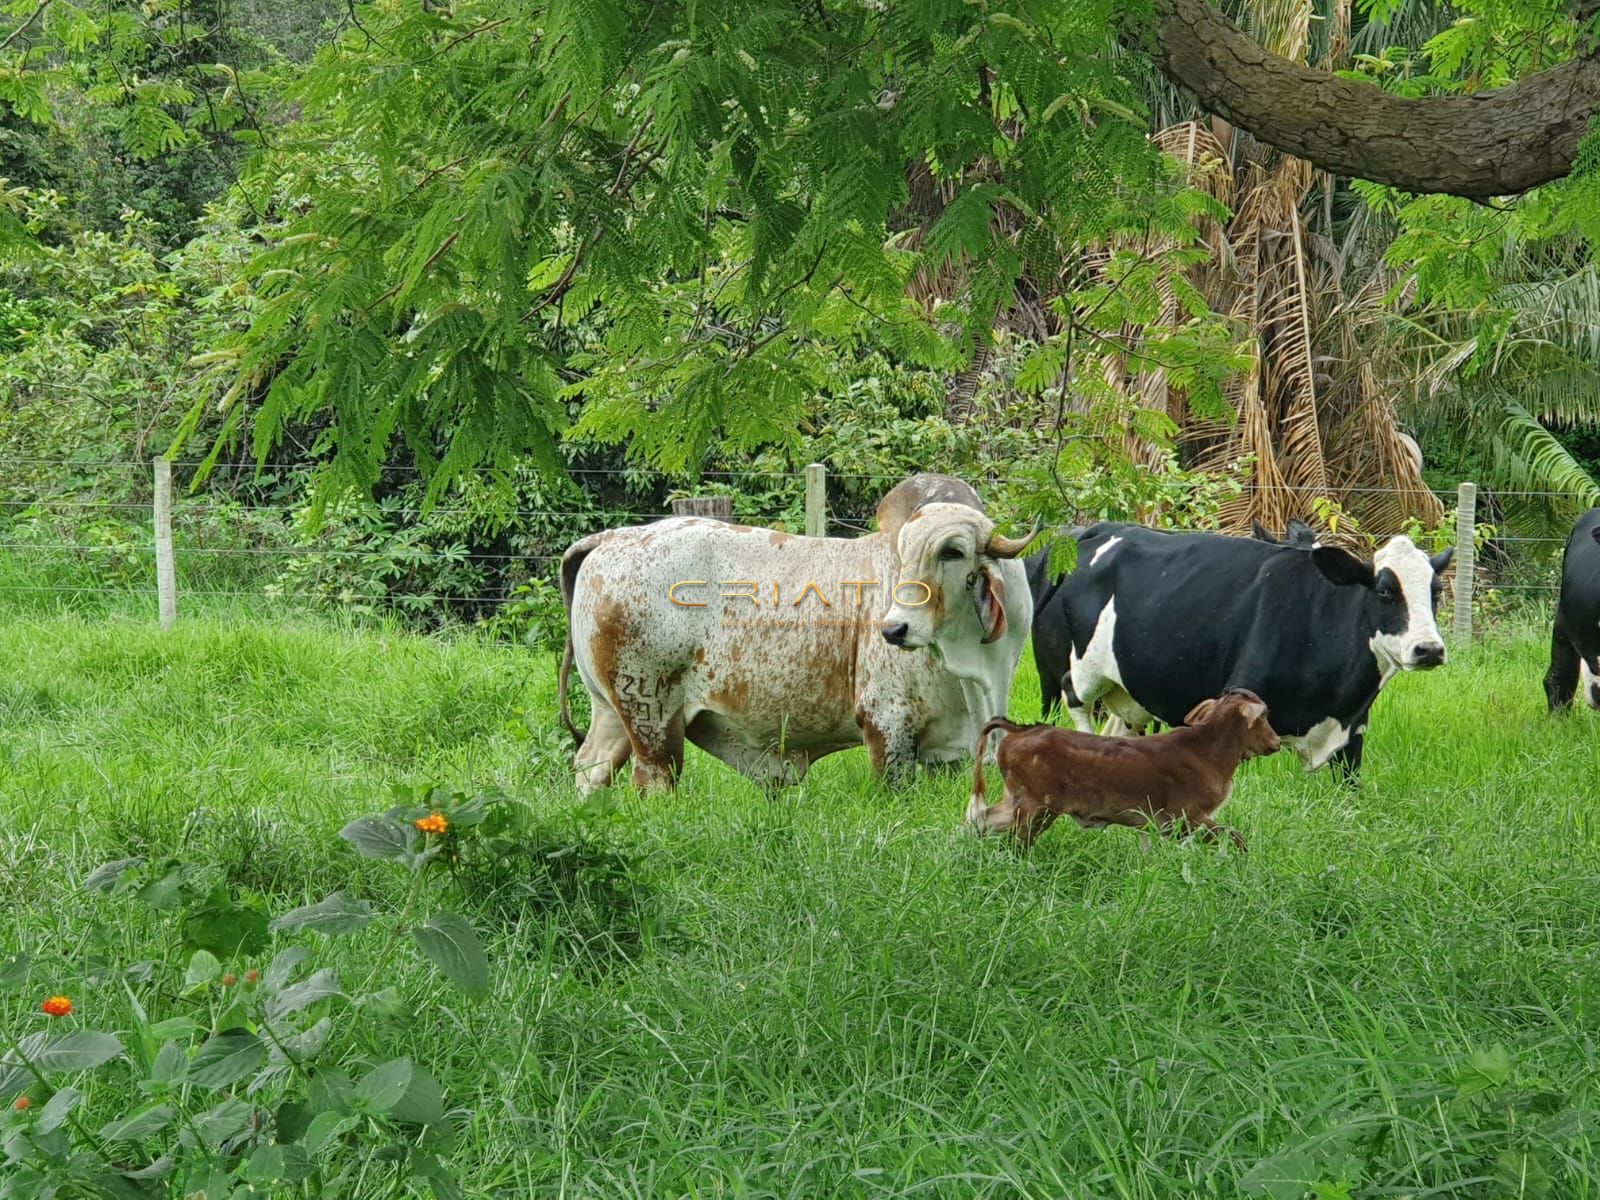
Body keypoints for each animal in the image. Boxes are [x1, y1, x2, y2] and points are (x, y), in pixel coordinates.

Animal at [560, 473, 1036, 793]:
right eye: (903, 555)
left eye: (952, 552)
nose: (893, 628)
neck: (975, 675)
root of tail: (611, 539)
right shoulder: (888, 725)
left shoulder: (948, 754)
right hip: (652, 719)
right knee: (654, 779)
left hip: (611, 712)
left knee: (591, 768)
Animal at [966, 691, 1280, 851]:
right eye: (1264, 715)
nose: (1277, 742)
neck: (1208, 751)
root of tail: (1021, 730)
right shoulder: (1184, 816)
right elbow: (1234, 835)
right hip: (1035, 807)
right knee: (1014, 840)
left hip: (1017, 802)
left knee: (982, 819)